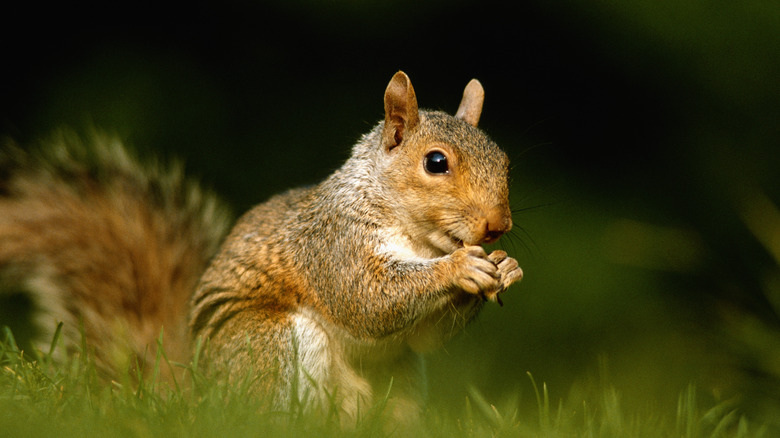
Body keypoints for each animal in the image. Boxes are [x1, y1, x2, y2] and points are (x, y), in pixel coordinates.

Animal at [1, 72, 524, 424]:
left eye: (505, 161)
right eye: (435, 162)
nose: (498, 226)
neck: (418, 239)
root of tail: (195, 395)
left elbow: (424, 336)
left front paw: (507, 266)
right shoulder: (333, 244)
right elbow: (367, 299)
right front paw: (459, 268)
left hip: (401, 383)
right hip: (263, 343)